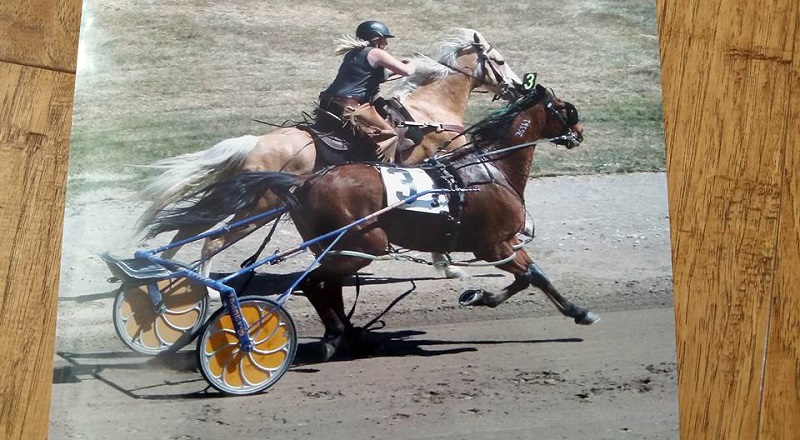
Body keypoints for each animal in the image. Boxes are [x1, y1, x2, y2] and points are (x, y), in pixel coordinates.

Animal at [135, 28, 523, 279]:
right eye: (500, 60)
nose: (519, 87)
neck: (428, 112)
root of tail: (256, 142)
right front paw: (448, 264)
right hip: (258, 207)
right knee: (211, 240)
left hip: (239, 197)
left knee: (186, 230)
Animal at [145, 84, 600, 361]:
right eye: (566, 108)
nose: (579, 131)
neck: (487, 168)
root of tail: (305, 181)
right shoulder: (496, 244)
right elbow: (534, 276)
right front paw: (577, 311)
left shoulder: (494, 246)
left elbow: (525, 278)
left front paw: (476, 294)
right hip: (363, 243)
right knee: (309, 280)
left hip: (337, 243)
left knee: (324, 285)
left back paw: (340, 332)